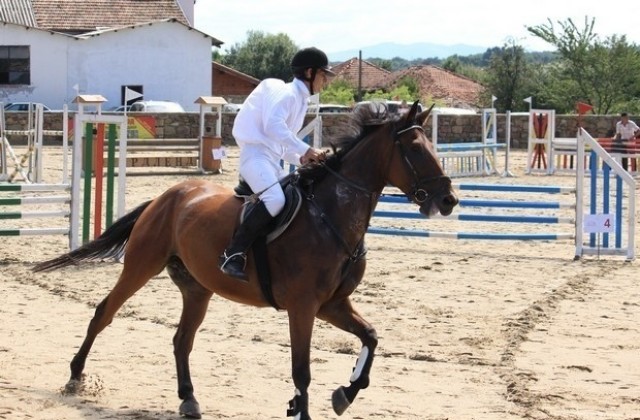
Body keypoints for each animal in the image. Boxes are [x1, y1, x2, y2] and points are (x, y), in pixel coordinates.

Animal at [32, 101, 458, 420]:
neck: (331, 216)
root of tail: (168, 195)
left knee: (182, 340)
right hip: (141, 266)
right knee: (104, 312)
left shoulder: (332, 304)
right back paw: (75, 377)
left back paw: (188, 398)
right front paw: (305, 407)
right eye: (415, 149)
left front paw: (345, 393)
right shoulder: (303, 306)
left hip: (198, 289)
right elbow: (302, 370)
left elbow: (370, 337)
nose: (449, 199)